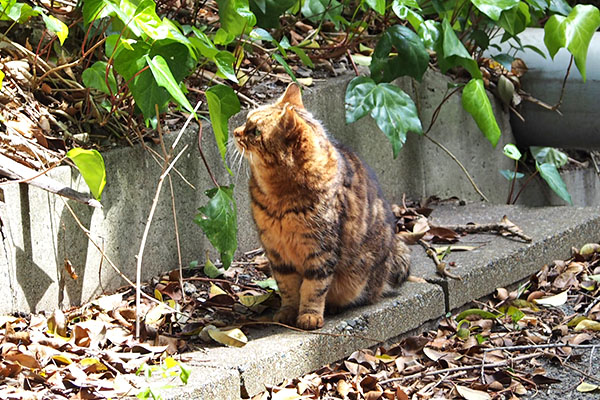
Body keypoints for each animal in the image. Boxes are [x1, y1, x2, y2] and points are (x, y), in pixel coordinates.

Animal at [232, 83, 410, 328]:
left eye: (256, 131)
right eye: (247, 119)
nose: (235, 132)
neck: (279, 198)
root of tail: (392, 247)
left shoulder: (321, 251)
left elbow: (313, 289)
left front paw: (309, 315)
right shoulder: (277, 252)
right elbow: (287, 288)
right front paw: (287, 312)